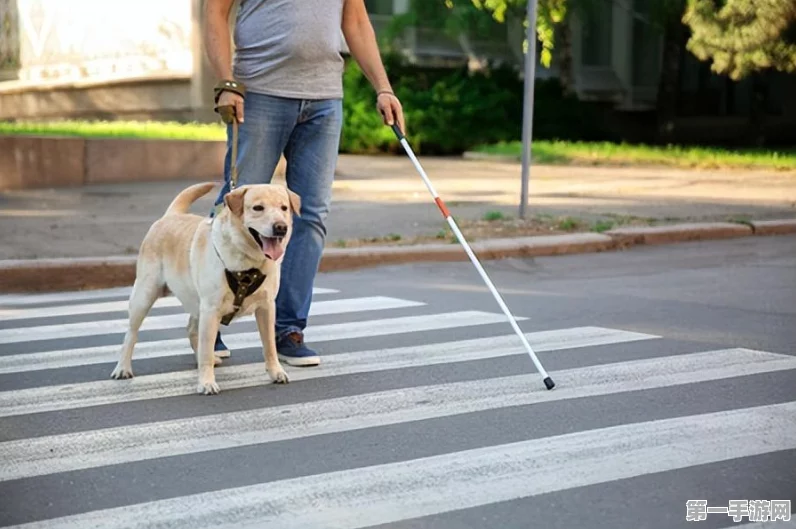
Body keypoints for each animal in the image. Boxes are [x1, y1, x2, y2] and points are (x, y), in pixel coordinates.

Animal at [110, 182, 300, 392]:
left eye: (284, 208)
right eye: (258, 208)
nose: (281, 227)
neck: (248, 262)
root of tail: (171, 214)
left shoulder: (267, 307)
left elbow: (269, 346)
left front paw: (276, 372)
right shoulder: (211, 308)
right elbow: (207, 349)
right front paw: (206, 382)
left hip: (195, 300)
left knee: (191, 329)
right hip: (145, 294)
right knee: (131, 333)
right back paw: (123, 367)